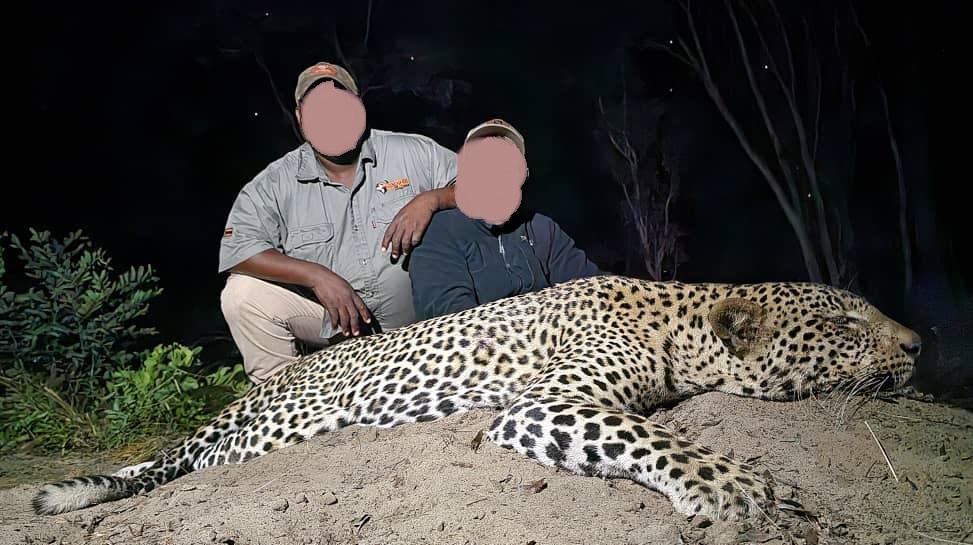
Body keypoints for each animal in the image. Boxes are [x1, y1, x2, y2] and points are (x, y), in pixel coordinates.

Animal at [31, 274, 921, 521]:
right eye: (844, 320)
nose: (918, 344)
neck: (680, 320)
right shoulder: (545, 402)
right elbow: (657, 438)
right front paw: (733, 485)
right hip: (279, 424)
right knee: (193, 460)